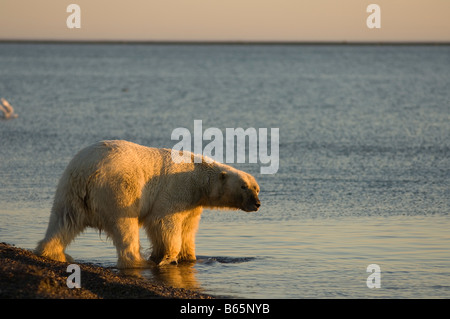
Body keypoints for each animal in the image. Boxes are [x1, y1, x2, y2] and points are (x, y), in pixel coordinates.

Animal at [34, 140, 260, 268]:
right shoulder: (176, 189)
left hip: (69, 188)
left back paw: (54, 253)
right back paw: (138, 261)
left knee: (63, 220)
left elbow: (188, 227)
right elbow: (164, 222)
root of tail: (88, 172)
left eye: (257, 188)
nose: (257, 203)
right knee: (125, 225)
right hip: (118, 189)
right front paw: (166, 257)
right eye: (244, 187)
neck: (197, 174)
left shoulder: (192, 202)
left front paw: (190, 257)